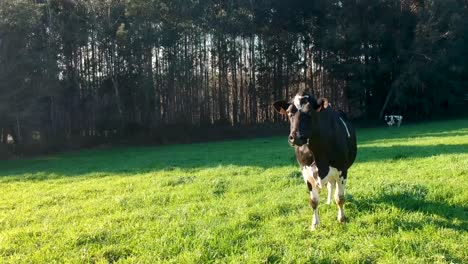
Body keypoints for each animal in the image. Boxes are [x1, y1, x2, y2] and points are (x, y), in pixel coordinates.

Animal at [272, 93, 356, 231]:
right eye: (289, 113)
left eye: (310, 112)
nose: (296, 137)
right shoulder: (306, 173)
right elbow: (314, 201)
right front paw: (315, 224)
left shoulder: (342, 170)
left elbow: (340, 198)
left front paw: (341, 218)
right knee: (330, 185)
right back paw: (328, 202)